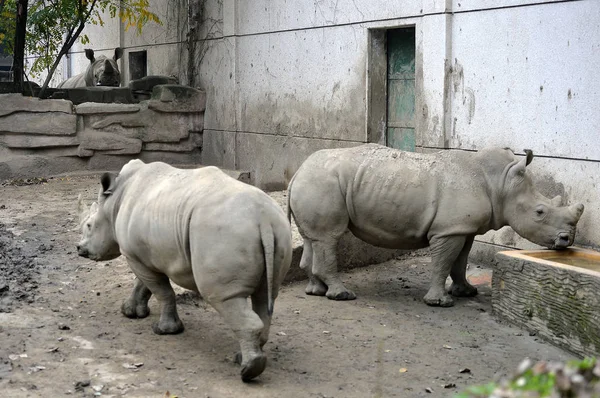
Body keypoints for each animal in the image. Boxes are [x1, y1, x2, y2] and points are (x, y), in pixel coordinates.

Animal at [77, 160, 292, 380]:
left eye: (89, 225)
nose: (79, 249)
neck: (115, 201)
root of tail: (263, 219)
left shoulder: (134, 254)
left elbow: (161, 291)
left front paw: (164, 330)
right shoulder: (145, 255)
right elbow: (144, 285)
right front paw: (130, 312)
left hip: (224, 233)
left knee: (223, 297)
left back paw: (248, 371)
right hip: (279, 231)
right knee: (265, 296)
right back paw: (242, 358)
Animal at [288, 145, 584, 306]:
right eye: (540, 212)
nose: (566, 240)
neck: (501, 183)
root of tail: (297, 171)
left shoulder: (463, 228)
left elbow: (461, 262)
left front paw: (467, 292)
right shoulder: (448, 230)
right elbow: (443, 262)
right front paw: (441, 302)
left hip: (316, 182)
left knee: (313, 238)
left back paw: (316, 291)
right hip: (323, 183)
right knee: (329, 237)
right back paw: (342, 295)